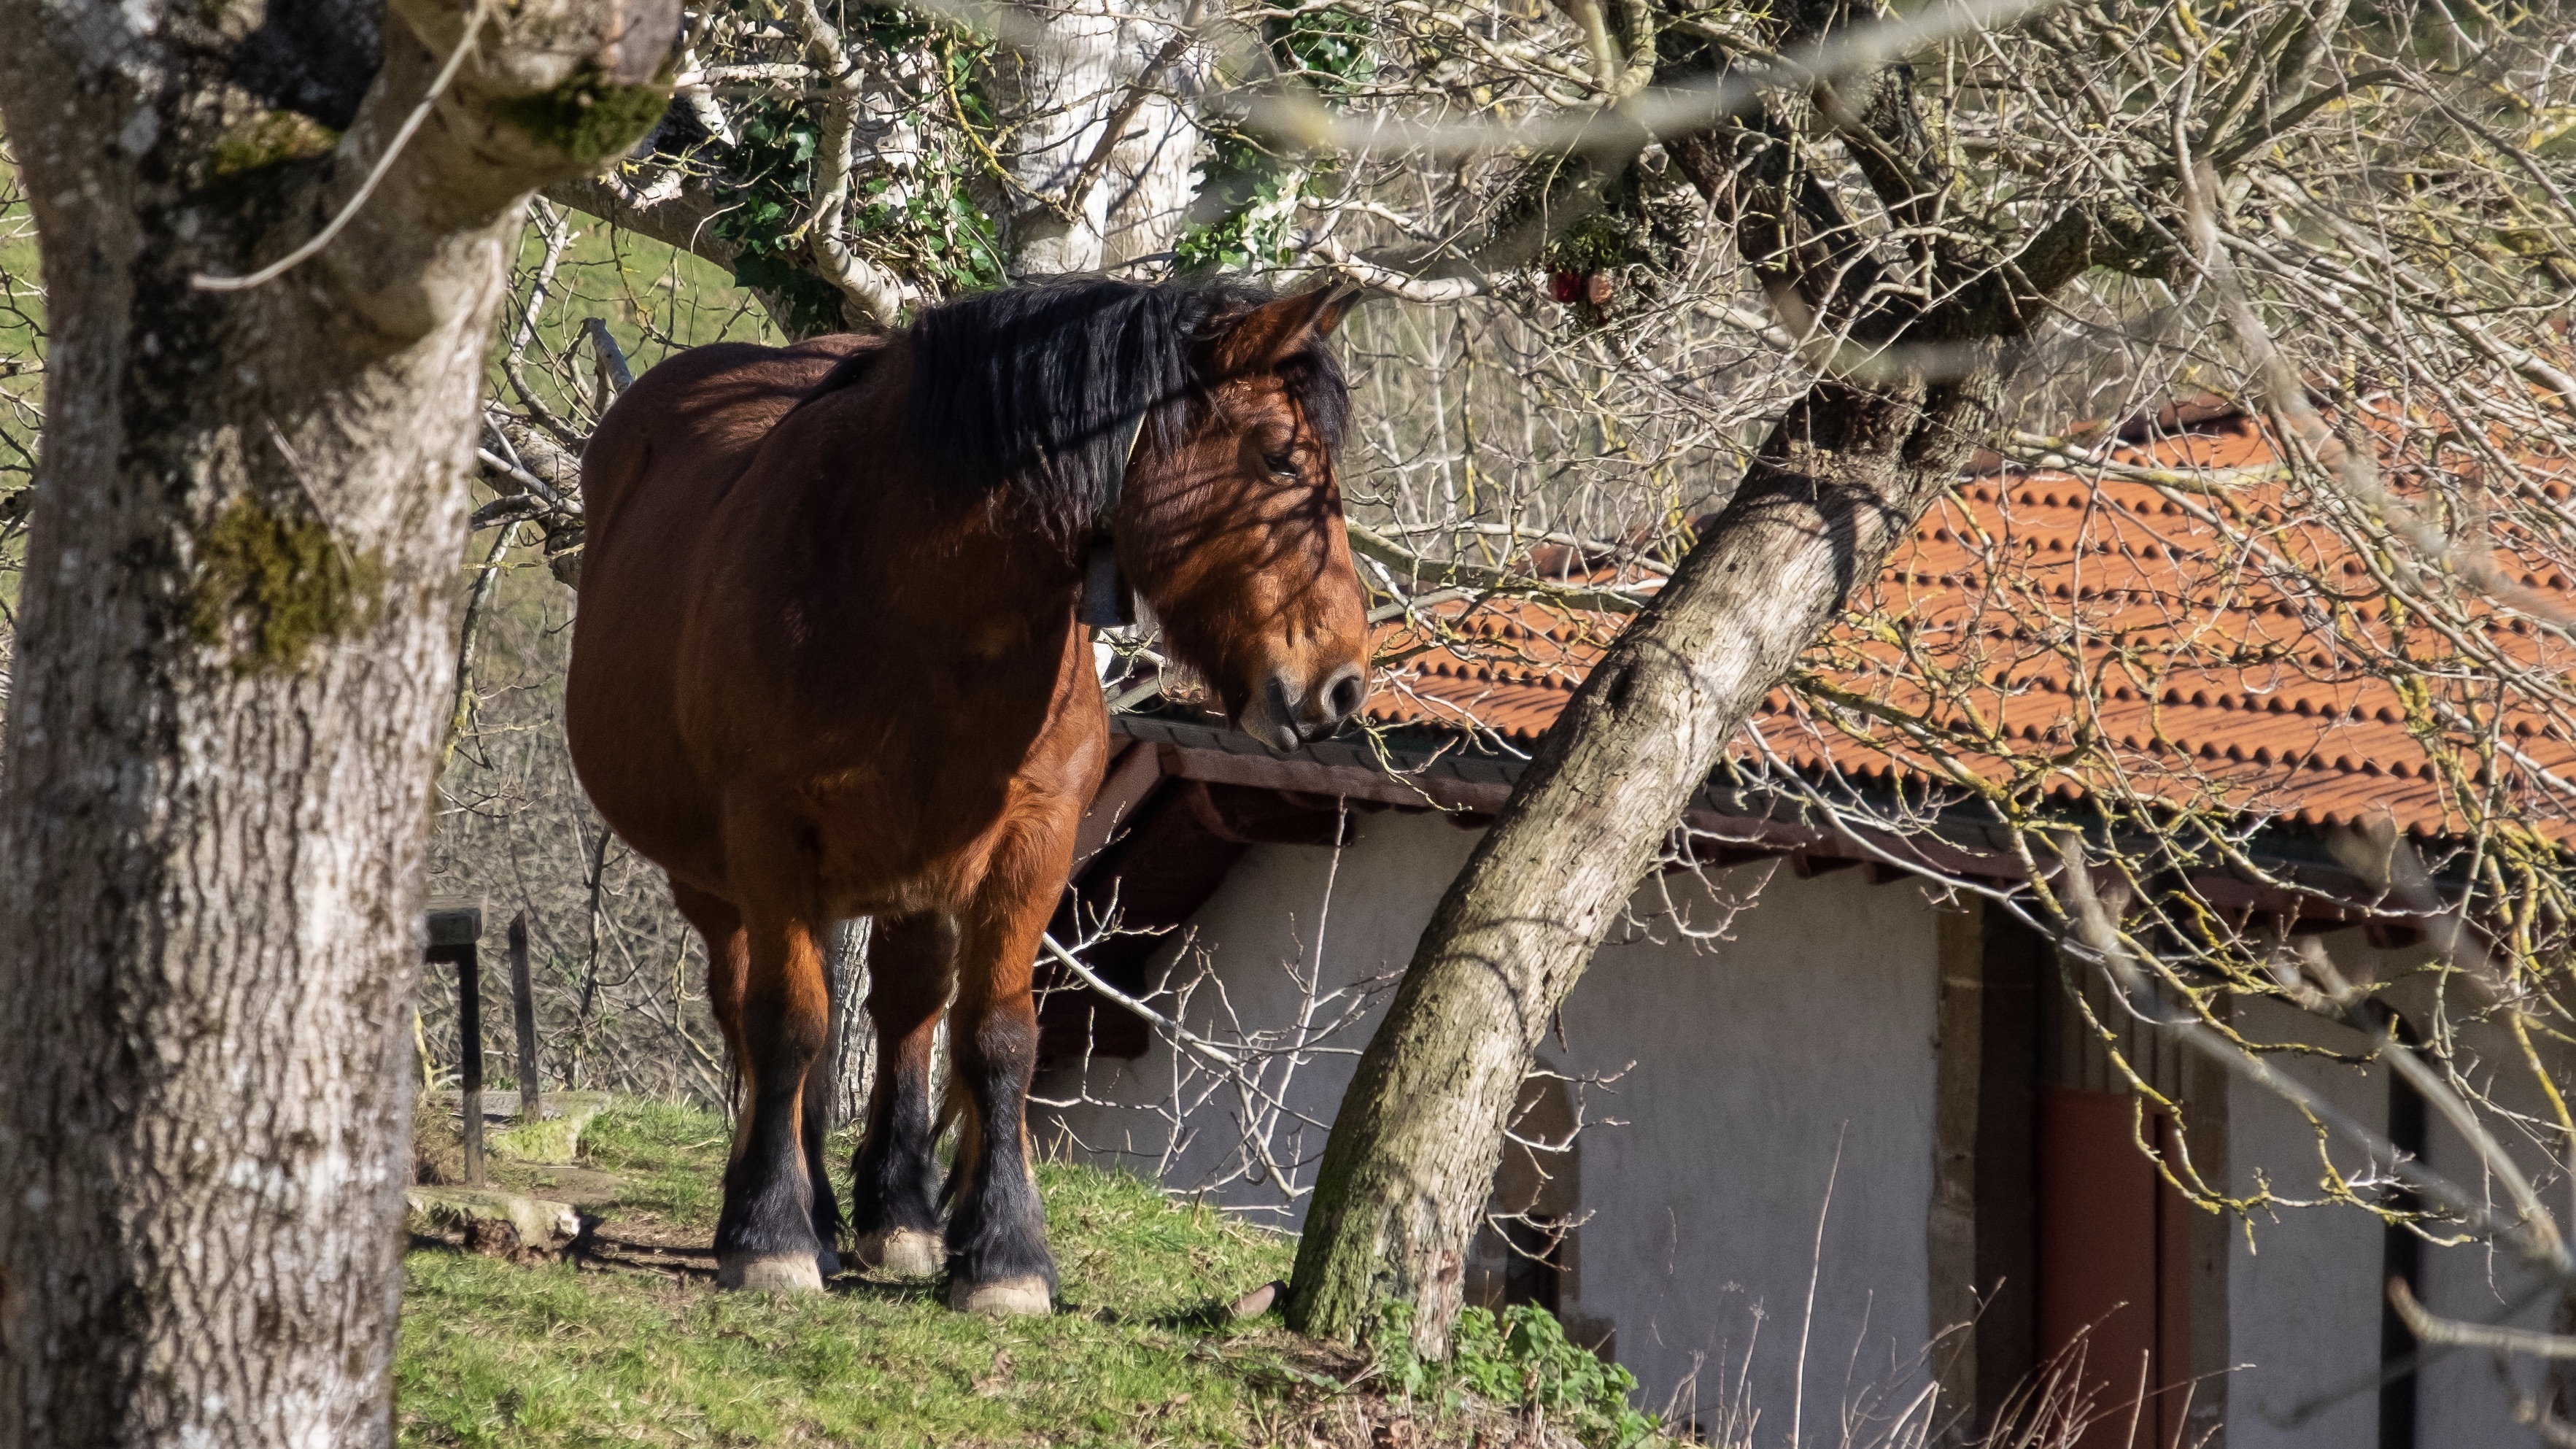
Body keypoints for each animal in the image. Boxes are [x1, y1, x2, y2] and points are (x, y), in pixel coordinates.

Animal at [564, 276, 1370, 1305]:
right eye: (1279, 458)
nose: (1343, 686)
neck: (914, 597)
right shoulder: (768, 836)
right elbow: (788, 1025)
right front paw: (772, 1235)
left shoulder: (1034, 837)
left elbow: (997, 1035)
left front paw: (1004, 1254)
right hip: (715, 879)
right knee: (752, 1008)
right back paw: (789, 1207)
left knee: (905, 1010)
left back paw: (895, 1214)